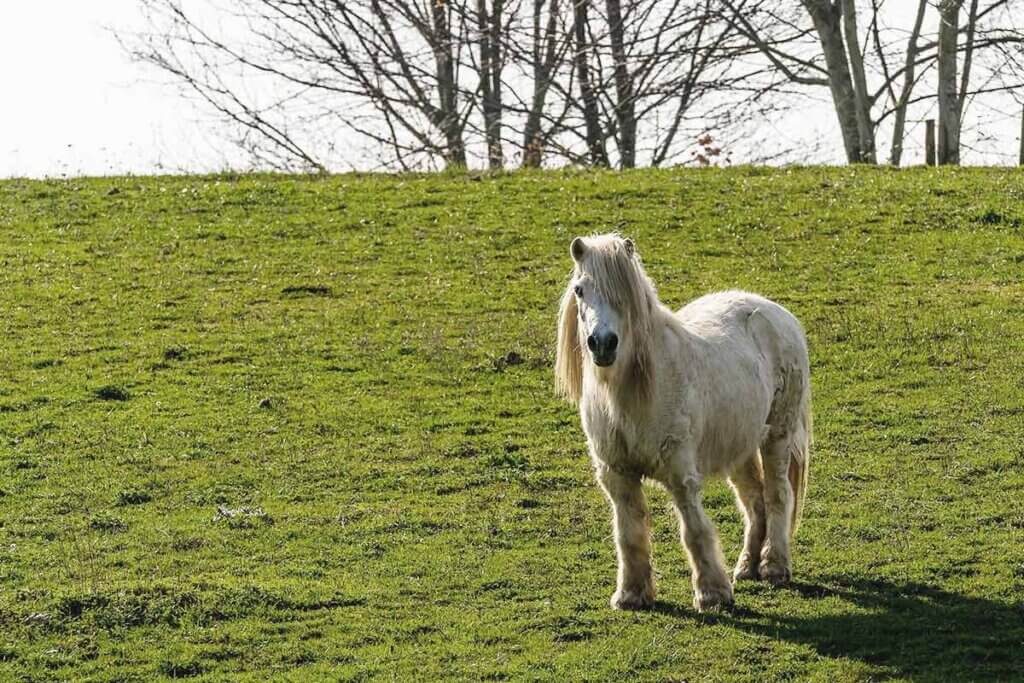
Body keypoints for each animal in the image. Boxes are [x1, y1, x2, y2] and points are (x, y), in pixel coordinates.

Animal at [557, 235, 811, 614]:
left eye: (624, 294)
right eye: (580, 289)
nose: (602, 344)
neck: (630, 395)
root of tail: (775, 311)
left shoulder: (680, 474)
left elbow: (694, 530)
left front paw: (712, 595)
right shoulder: (618, 475)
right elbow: (629, 533)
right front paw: (631, 595)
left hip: (777, 435)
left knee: (778, 494)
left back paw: (774, 567)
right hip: (740, 447)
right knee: (754, 502)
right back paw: (746, 567)